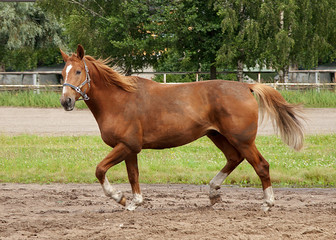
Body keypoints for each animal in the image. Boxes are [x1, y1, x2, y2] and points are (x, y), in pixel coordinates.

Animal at [60, 44, 304, 211]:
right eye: (63, 73)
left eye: (78, 72)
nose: (66, 101)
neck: (119, 100)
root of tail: (246, 87)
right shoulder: (130, 149)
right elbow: (133, 176)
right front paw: (134, 202)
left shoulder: (126, 146)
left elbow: (100, 170)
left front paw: (119, 197)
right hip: (218, 136)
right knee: (234, 158)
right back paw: (213, 192)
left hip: (242, 139)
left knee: (261, 165)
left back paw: (267, 203)